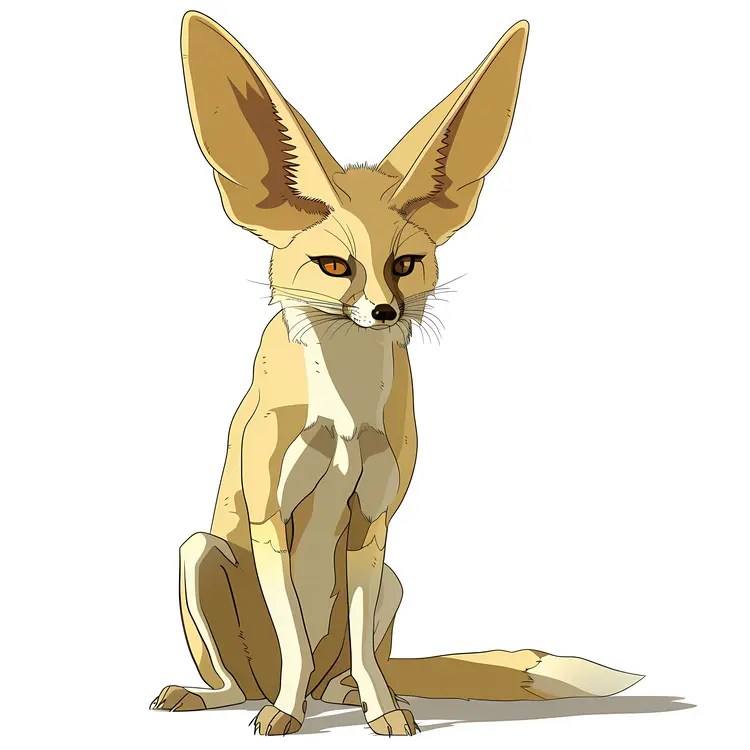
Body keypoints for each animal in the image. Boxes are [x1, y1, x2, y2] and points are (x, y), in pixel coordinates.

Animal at [150, 11, 644, 736]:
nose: (385, 311)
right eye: (335, 266)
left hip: (394, 580)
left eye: (405, 264)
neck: (345, 412)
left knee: (348, 666)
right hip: (198, 553)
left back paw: (349, 697)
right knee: (243, 679)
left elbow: (358, 641)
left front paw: (383, 712)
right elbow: (294, 637)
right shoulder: (271, 519)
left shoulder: (372, 524)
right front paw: (284, 716)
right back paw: (231, 697)